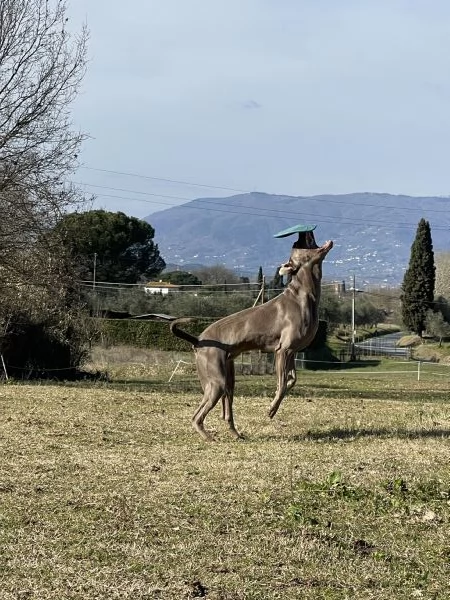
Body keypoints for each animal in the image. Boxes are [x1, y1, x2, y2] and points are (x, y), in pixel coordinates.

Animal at [171, 236, 332, 440]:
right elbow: (282, 384)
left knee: (226, 411)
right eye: (297, 247)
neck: (302, 295)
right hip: (216, 380)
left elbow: (291, 379)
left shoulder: (292, 352)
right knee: (197, 416)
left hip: (227, 377)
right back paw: (209, 437)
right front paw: (271, 409)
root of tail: (198, 340)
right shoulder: (283, 350)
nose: (299, 237)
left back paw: (236, 434)